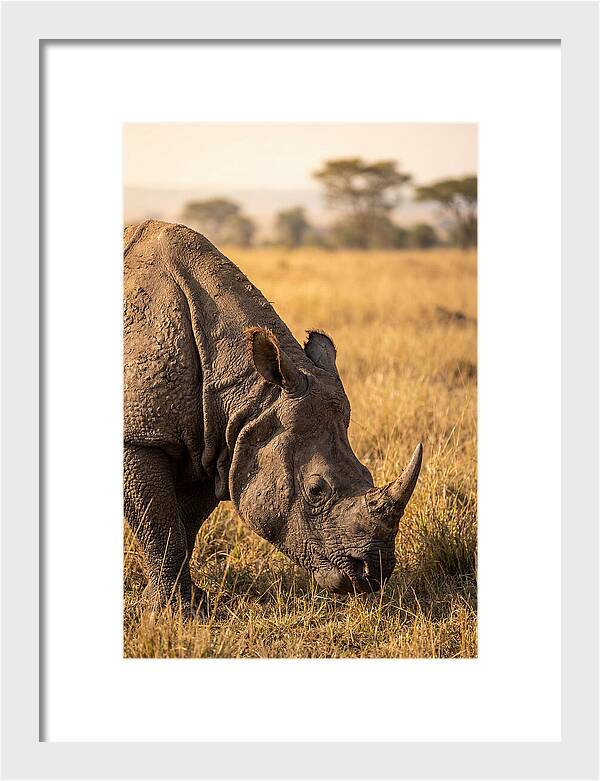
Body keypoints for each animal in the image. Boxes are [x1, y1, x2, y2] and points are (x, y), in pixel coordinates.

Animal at [124, 220, 422, 616]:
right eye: (316, 490)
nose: (373, 574)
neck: (249, 394)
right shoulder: (141, 437)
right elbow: (160, 526)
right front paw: (175, 613)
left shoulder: (215, 441)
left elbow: (182, 525)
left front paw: (185, 605)